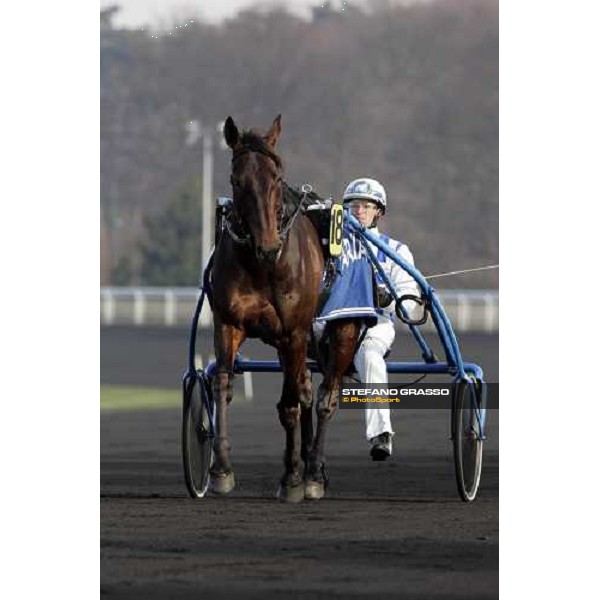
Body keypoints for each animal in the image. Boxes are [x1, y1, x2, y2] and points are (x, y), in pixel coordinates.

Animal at [211, 113, 360, 502]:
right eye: (236, 180)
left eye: (276, 177)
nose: (267, 246)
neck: (263, 267)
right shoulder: (228, 323)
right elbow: (222, 386)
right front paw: (221, 470)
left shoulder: (293, 331)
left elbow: (291, 404)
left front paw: (293, 479)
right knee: (306, 389)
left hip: (342, 332)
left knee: (325, 398)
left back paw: (314, 474)